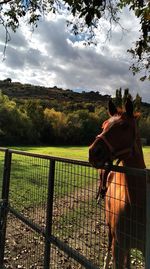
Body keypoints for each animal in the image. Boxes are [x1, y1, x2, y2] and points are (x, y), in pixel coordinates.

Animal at [88, 99, 146, 268]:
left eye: (124, 126)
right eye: (103, 125)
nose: (93, 152)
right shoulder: (118, 248)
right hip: (110, 228)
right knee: (108, 244)